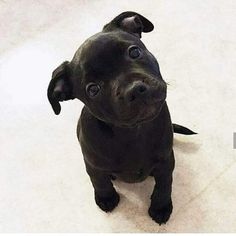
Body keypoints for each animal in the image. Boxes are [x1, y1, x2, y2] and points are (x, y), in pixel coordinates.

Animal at [46, 11, 195, 225]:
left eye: (134, 52)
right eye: (93, 89)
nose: (135, 90)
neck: (133, 132)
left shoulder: (166, 160)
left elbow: (165, 184)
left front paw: (161, 207)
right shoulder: (93, 165)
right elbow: (99, 182)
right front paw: (106, 198)